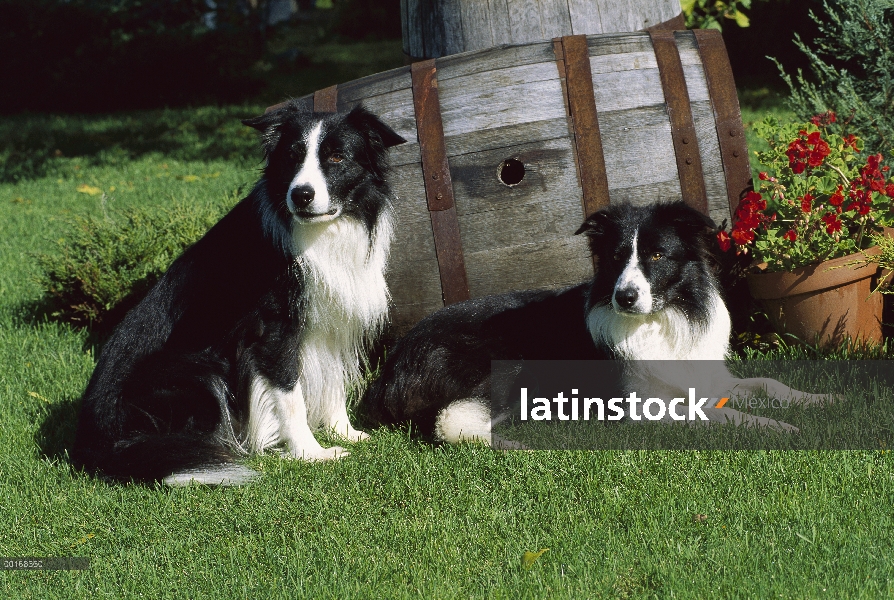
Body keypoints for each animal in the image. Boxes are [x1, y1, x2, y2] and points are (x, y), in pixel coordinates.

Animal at [72, 103, 406, 486]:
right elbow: (290, 394)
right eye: (291, 157)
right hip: (198, 371)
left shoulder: (333, 320)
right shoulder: (273, 329)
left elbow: (333, 380)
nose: (301, 195)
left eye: (337, 156)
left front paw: (345, 433)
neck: (321, 232)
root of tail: (94, 442)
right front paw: (311, 453)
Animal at [362, 199, 824, 442]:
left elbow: (769, 384)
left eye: (657, 254)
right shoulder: (642, 407)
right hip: (510, 360)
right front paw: (776, 426)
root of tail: (390, 369)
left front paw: (821, 400)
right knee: (450, 422)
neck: (659, 321)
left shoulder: (709, 379)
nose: (625, 296)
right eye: (616, 257)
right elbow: (726, 416)